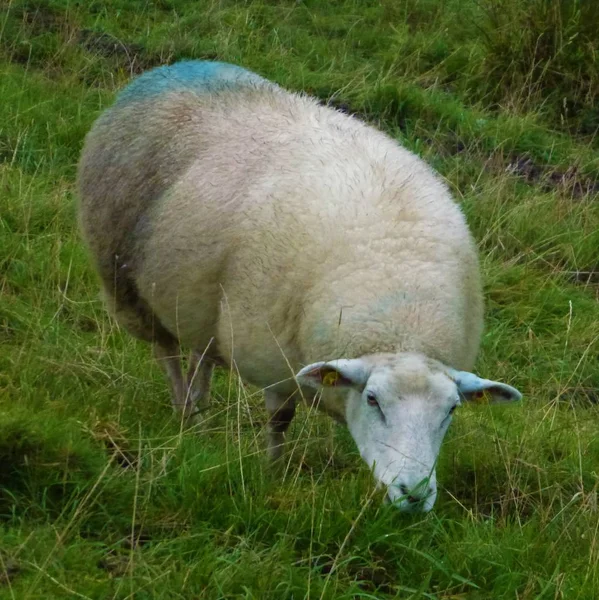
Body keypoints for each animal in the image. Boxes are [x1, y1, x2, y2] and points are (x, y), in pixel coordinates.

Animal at [78, 59, 520, 510]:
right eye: (373, 399)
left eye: (451, 410)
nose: (413, 494)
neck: (403, 323)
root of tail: (169, 70)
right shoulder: (271, 355)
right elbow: (279, 419)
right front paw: (271, 473)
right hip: (126, 281)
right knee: (166, 351)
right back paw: (185, 411)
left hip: (202, 298)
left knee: (201, 352)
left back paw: (200, 414)